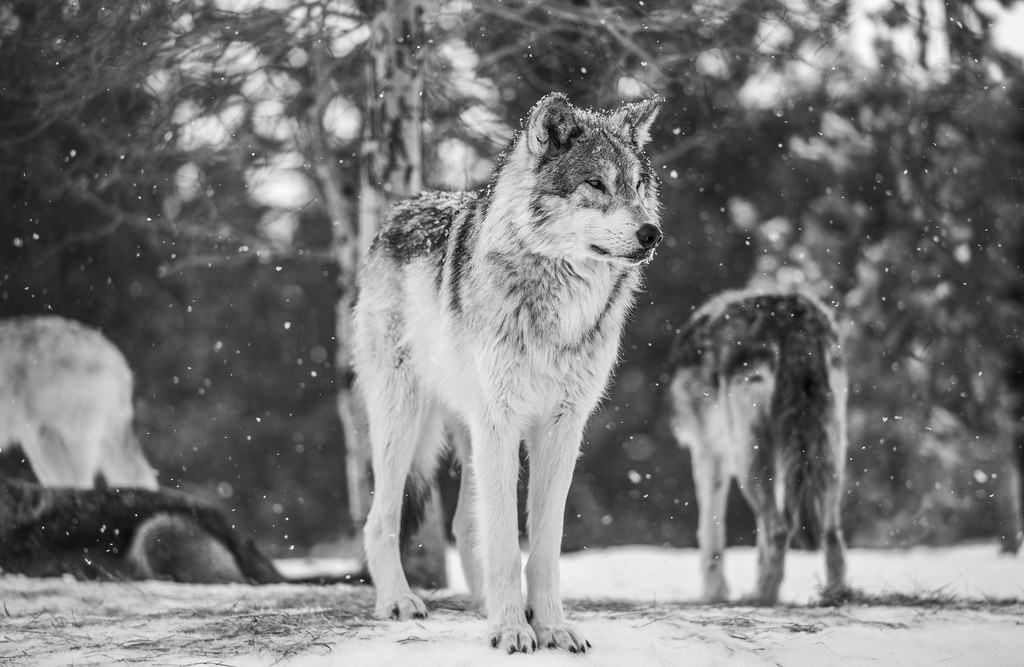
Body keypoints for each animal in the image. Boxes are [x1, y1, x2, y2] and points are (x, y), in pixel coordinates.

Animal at [354, 92, 663, 653]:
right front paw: (510, 629)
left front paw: (551, 626)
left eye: (636, 185)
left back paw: (485, 605)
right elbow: (502, 539)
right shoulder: (499, 421)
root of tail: (401, 209)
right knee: (380, 518)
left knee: (461, 523)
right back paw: (400, 601)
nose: (652, 233)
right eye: (596, 184)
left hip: (465, 427)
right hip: (404, 418)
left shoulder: (563, 426)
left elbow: (543, 543)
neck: (557, 306)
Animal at [668, 288, 849, 605]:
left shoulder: (707, 455)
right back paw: (833, 594)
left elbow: (711, 535)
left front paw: (714, 594)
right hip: (828, 455)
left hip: (748, 462)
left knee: (777, 530)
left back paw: (761, 596)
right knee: (831, 535)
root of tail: (791, 319)